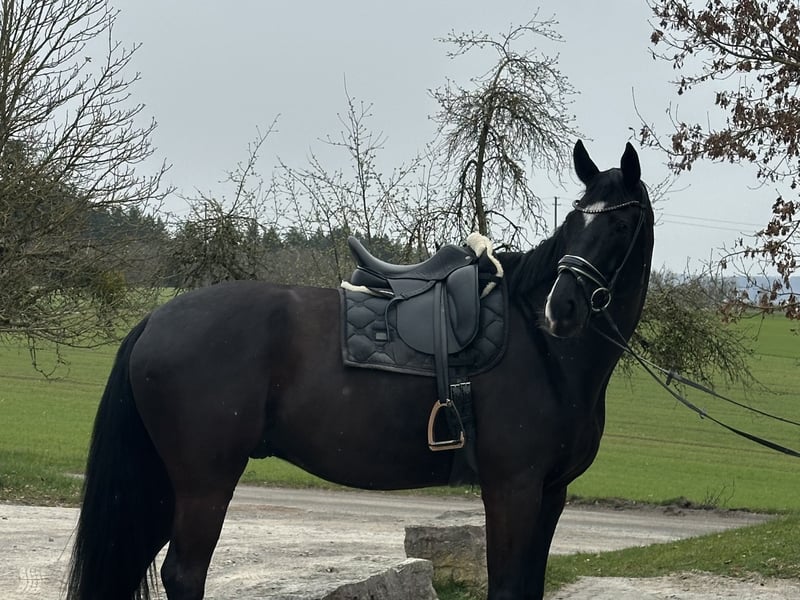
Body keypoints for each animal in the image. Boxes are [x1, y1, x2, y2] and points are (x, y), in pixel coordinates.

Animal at [67, 140, 653, 600]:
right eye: (575, 219)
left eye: (620, 223)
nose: (562, 309)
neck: (543, 351)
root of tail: (155, 318)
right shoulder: (513, 490)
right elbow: (507, 588)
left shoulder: (550, 494)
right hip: (203, 482)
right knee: (184, 574)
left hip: (162, 484)